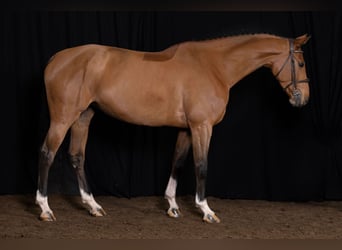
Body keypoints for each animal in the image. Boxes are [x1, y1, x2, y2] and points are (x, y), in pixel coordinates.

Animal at [36, 32, 312, 223]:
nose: (302, 98)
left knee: (77, 156)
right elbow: (201, 165)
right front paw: (206, 210)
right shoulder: (202, 126)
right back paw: (45, 208)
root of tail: (56, 59)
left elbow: (178, 161)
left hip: (83, 116)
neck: (214, 67)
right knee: (47, 155)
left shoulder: (186, 128)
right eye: (300, 64)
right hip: (63, 118)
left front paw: (172, 206)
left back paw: (92, 206)